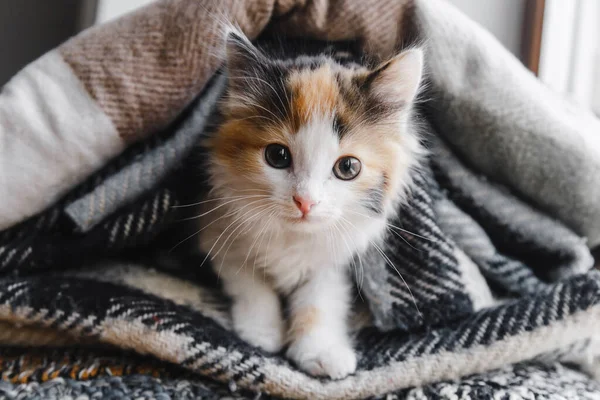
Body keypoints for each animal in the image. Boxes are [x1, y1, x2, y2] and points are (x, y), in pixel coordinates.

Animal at [197, 31, 422, 378]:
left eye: (348, 167)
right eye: (277, 156)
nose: (305, 201)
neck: (292, 236)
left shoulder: (335, 259)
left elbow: (320, 299)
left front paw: (321, 351)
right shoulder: (219, 228)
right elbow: (249, 281)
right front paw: (263, 331)